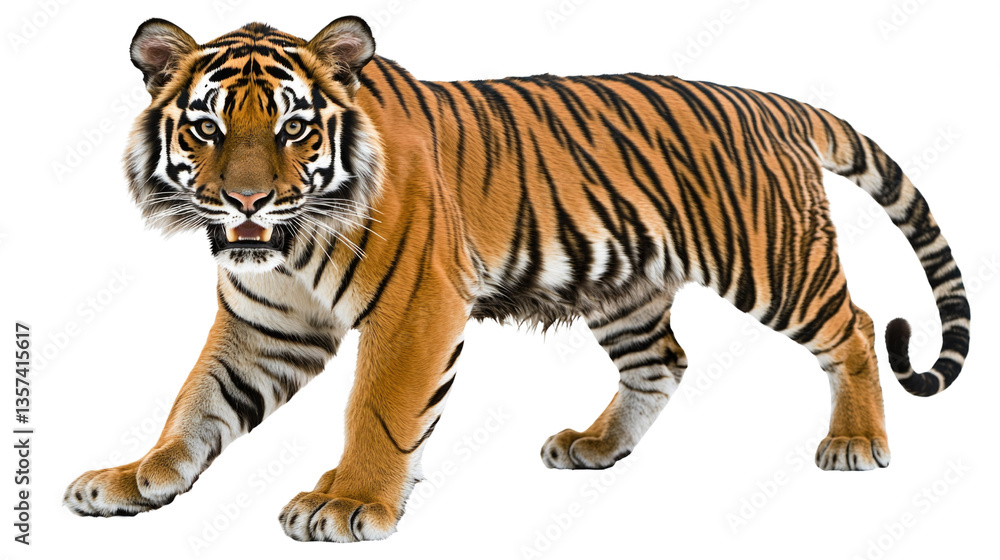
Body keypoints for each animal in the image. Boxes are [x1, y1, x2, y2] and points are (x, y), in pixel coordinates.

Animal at [64, 16, 971, 542]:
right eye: (208, 127)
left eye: (292, 128)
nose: (246, 198)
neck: (288, 241)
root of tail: (775, 103)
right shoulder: (267, 324)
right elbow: (197, 402)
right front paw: (135, 479)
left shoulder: (415, 306)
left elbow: (381, 411)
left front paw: (352, 502)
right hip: (626, 286)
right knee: (663, 362)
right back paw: (597, 446)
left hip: (773, 261)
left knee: (856, 326)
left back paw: (854, 443)